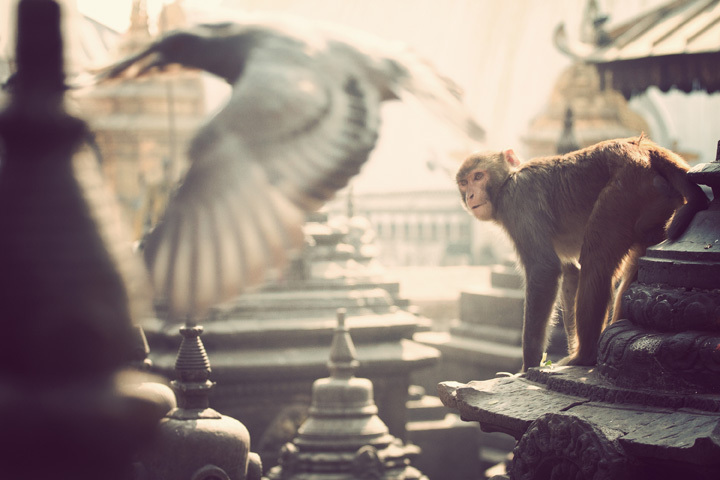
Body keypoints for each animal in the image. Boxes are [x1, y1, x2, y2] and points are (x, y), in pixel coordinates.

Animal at [456, 136, 708, 371]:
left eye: (478, 177)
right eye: (464, 183)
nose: (470, 196)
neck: (507, 182)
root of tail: (643, 148)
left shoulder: (518, 202)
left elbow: (545, 270)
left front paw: (528, 366)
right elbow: (570, 273)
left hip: (625, 190)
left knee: (596, 259)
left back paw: (584, 356)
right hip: (657, 202)